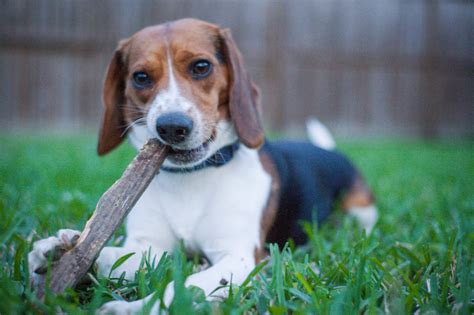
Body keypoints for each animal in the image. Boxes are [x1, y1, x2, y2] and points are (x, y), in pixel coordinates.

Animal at [28, 19, 378, 314]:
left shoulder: (241, 257)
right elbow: (109, 255)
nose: (172, 126)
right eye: (140, 77)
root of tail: (328, 150)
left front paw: (135, 308)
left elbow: (184, 285)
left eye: (200, 66)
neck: (192, 177)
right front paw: (57, 251)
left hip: (362, 214)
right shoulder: (149, 247)